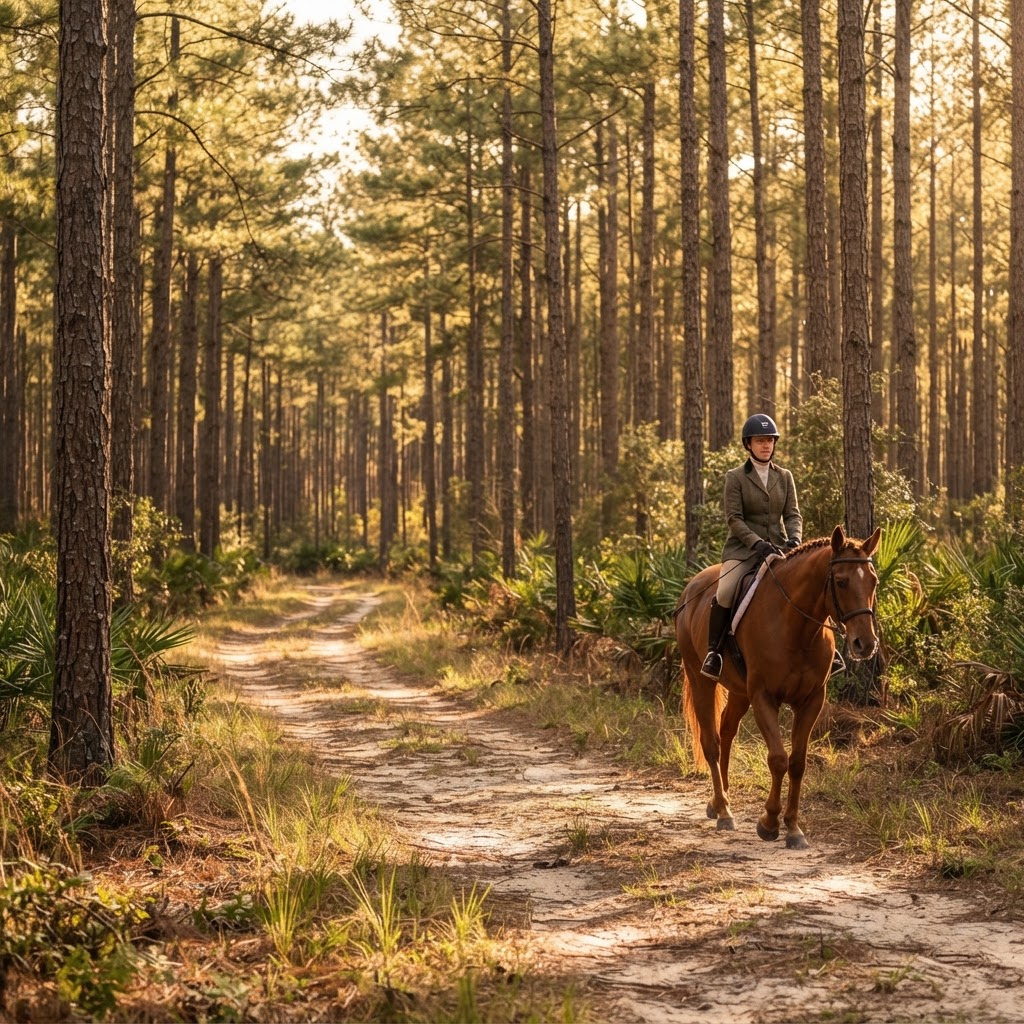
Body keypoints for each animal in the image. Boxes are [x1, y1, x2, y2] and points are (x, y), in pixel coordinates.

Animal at [675, 524, 882, 850]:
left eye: (873, 581)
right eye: (841, 581)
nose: (866, 644)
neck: (796, 626)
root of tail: (691, 588)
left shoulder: (811, 700)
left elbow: (797, 762)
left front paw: (794, 829)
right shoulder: (764, 697)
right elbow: (778, 759)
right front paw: (769, 823)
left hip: (739, 692)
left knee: (726, 731)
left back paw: (719, 802)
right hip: (701, 680)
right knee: (711, 741)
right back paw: (723, 811)